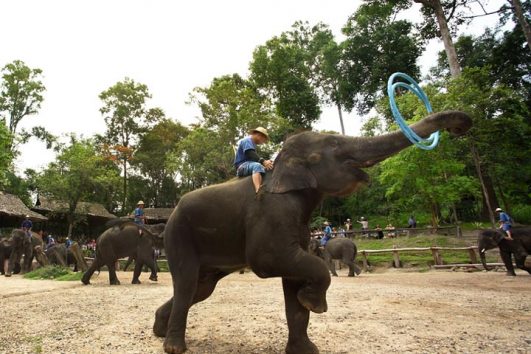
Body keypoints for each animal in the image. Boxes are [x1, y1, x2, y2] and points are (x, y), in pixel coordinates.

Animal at [154, 111, 474, 354]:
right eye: (334, 144)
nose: (460, 127)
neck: (283, 166)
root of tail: (171, 212)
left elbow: (294, 282)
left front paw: (306, 344)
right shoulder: (271, 214)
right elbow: (270, 261)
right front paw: (315, 303)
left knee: (201, 288)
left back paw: (157, 329)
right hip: (178, 234)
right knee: (187, 284)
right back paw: (174, 347)